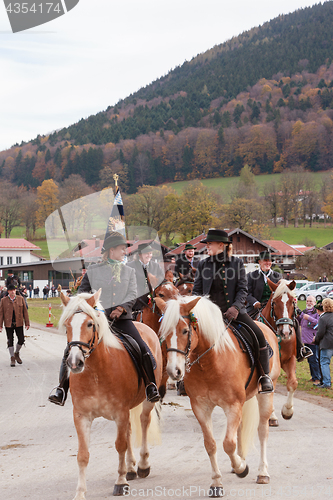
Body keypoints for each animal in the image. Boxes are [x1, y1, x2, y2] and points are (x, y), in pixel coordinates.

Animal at [59, 292, 163, 498]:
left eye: (89, 324)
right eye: (67, 325)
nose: (74, 362)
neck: (96, 373)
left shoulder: (119, 413)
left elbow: (120, 445)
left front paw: (120, 482)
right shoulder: (81, 416)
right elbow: (83, 454)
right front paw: (80, 492)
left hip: (147, 400)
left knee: (144, 422)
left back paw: (142, 465)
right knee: (130, 429)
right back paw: (131, 469)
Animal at [156, 296, 280, 496]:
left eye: (185, 331)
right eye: (164, 333)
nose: (174, 372)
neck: (209, 363)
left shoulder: (232, 406)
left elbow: (228, 443)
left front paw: (241, 468)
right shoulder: (201, 408)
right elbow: (211, 444)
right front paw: (217, 482)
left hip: (267, 393)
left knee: (262, 431)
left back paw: (262, 473)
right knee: (240, 429)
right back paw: (241, 460)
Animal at [254, 278, 296, 426]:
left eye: (292, 302)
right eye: (274, 303)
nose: (286, 332)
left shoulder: (290, 359)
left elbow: (292, 383)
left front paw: (288, 411)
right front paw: (271, 416)